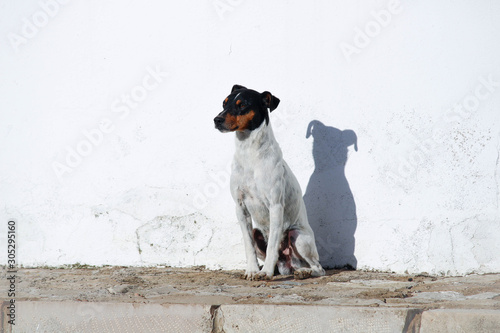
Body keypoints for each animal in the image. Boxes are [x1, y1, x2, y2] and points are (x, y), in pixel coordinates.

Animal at [213, 84, 326, 278]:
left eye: (242, 105)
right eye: (224, 103)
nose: (216, 119)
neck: (249, 153)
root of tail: (287, 264)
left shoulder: (275, 206)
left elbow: (273, 244)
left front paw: (265, 273)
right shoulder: (240, 208)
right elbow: (248, 246)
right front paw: (252, 270)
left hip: (298, 236)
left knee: (318, 267)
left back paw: (303, 272)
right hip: (257, 231)